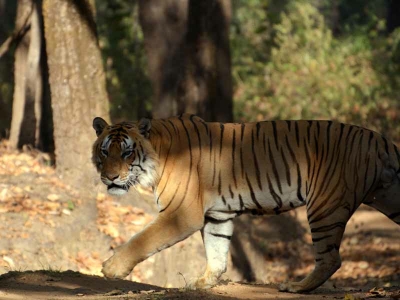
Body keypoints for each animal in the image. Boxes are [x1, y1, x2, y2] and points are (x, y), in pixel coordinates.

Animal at [91, 113, 400, 292]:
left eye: (127, 152)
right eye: (105, 152)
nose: (110, 178)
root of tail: (379, 139)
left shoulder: (181, 213)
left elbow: (142, 239)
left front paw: (111, 268)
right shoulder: (217, 215)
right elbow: (216, 251)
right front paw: (204, 283)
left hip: (324, 206)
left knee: (331, 258)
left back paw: (296, 287)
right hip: (389, 197)